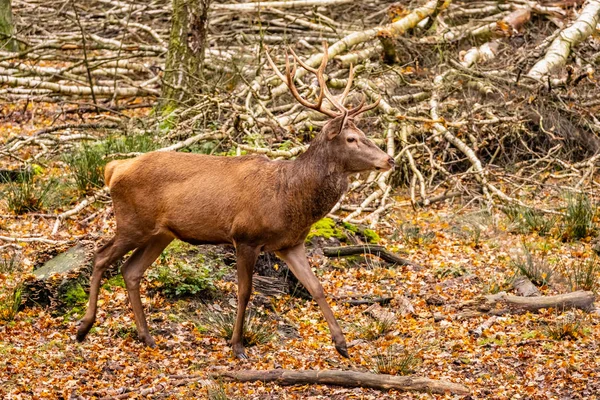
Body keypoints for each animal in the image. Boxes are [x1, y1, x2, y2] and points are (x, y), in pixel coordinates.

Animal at [76, 44, 394, 360]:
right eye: (351, 138)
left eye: (365, 134)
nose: (389, 159)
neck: (289, 197)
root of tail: (114, 168)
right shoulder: (245, 236)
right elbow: (244, 292)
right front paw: (237, 345)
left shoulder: (290, 243)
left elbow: (316, 287)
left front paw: (341, 344)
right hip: (132, 222)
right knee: (101, 256)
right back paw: (84, 327)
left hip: (161, 234)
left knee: (131, 271)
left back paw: (147, 337)